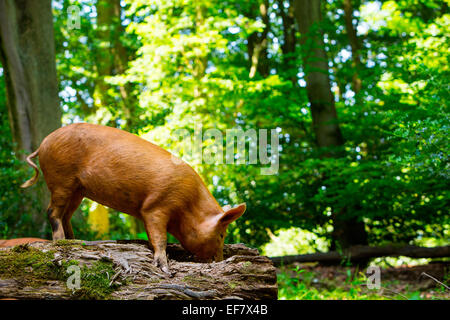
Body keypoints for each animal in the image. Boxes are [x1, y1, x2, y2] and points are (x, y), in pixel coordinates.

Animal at [20, 122, 246, 272]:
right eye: (221, 235)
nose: (220, 260)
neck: (188, 204)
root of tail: (43, 143)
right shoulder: (156, 206)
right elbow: (159, 237)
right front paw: (163, 266)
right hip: (61, 179)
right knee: (52, 212)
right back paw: (60, 242)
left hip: (78, 189)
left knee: (66, 215)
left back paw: (75, 241)